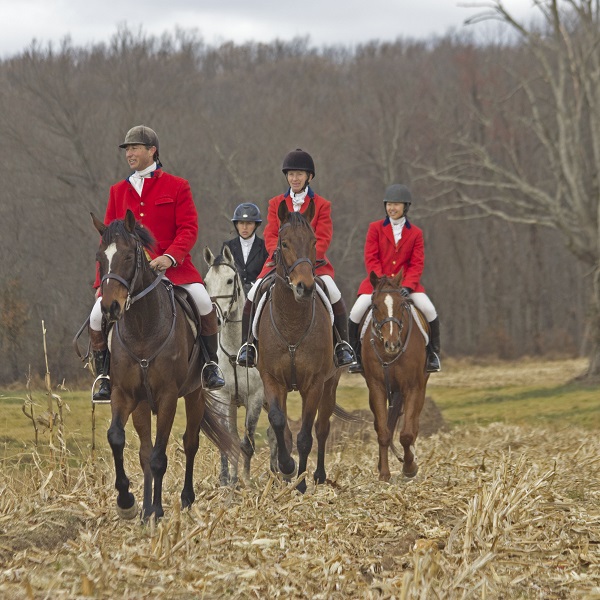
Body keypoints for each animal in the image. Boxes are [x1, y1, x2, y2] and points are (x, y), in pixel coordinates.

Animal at [91, 211, 237, 520]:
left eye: (128, 256)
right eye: (100, 257)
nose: (110, 308)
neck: (142, 327)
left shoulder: (168, 396)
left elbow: (160, 455)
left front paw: (157, 509)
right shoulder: (125, 394)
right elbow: (117, 438)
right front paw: (128, 502)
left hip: (194, 394)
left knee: (190, 443)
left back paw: (186, 498)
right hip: (143, 403)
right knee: (145, 451)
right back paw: (145, 506)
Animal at [202, 246, 276, 486]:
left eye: (229, 280)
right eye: (206, 282)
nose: (215, 318)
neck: (235, 352)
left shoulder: (255, 398)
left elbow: (247, 442)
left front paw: (245, 480)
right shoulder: (223, 398)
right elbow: (228, 440)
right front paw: (228, 480)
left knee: (276, 433)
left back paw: (278, 474)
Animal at [253, 199, 340, 494]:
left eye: (314, 241)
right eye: (284, 242)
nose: (305, 287)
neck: (291, 320)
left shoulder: (314, 384)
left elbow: (305, 436)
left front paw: (301, 482)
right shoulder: (271, 379)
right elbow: (279, 422)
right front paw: (287, 467)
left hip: (331, 383)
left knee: (322, 428)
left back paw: (320, 476)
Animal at [360, 272, 432, 482]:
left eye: (402, 304)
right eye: (375, 306)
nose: (392, 344)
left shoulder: (413, 387)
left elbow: (407, 434)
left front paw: (409, 467)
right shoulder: (377, 388)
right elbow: (384, 431)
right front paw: (384, 473)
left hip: (420, 388)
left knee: (413, 424)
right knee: (383, 425)